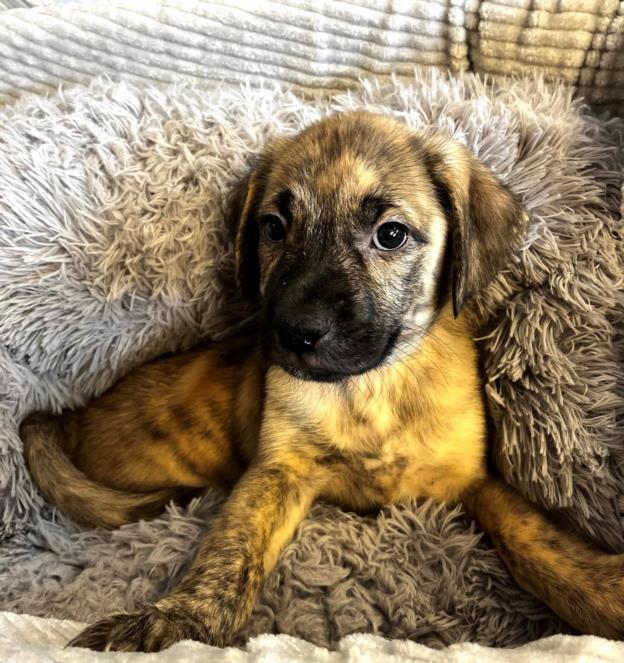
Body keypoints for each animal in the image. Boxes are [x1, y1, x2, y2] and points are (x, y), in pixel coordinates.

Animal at [20, 111, 624, 652]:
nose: (295, 332)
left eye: (390, 234)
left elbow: (531, 534)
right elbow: (230, 554)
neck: (371, 390)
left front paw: (600, 588)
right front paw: (173, 621)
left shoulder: (469, 478)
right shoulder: (277, 470)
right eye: (273, 228)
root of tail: (62, 418)